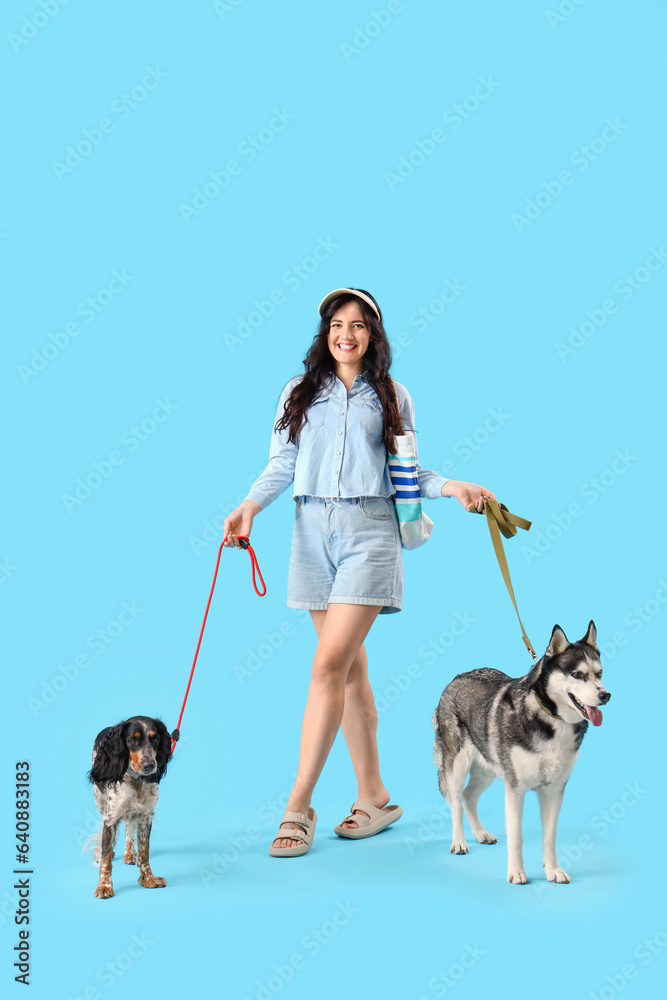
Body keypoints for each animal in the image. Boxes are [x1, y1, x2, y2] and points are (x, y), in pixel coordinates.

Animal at [87, 720, 174, 900]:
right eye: (133, 740)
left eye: (155, 739)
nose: (150, 765)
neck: (137, 783)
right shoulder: (111, 818)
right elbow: (106, 858)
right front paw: (104, 886)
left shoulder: (146, 817)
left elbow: (144, 852)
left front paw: (148, 879)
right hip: (100, 802)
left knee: (128, 829)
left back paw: (129, 854)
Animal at [434, 620, 612, 888]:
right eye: (578, 674)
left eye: (599, 674)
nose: (605, 695)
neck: (552, 720)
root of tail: (456, 678)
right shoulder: (515, 789)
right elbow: (516, 836)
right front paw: (517, 872)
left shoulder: (554, 790)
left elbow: (550, 836)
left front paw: (553, 870)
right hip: (457, 765)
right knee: (456, 801)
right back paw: (459, 842)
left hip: (489, 768)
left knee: (468, 796)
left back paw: (480, 833)